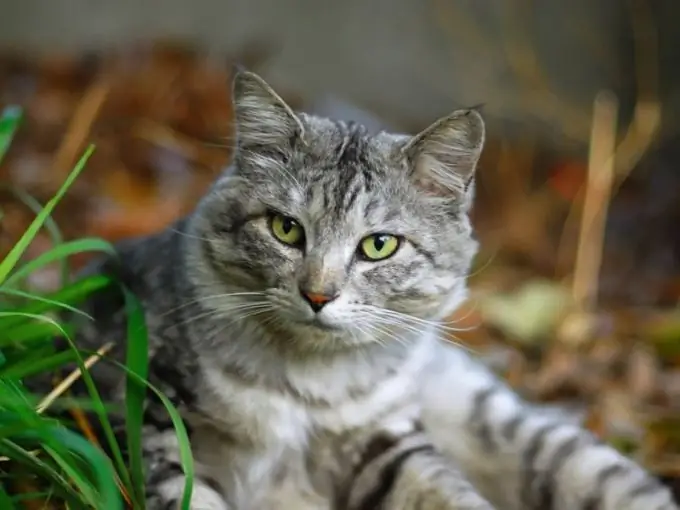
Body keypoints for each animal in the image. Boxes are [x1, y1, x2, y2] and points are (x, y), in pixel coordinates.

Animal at [57, 68, 676, 510]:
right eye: (285, 229)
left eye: (379, 245)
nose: (318, 295)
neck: (307, 388)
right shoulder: (143, 411)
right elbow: (188, 493)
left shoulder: (388, 443)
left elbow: (448, 495)